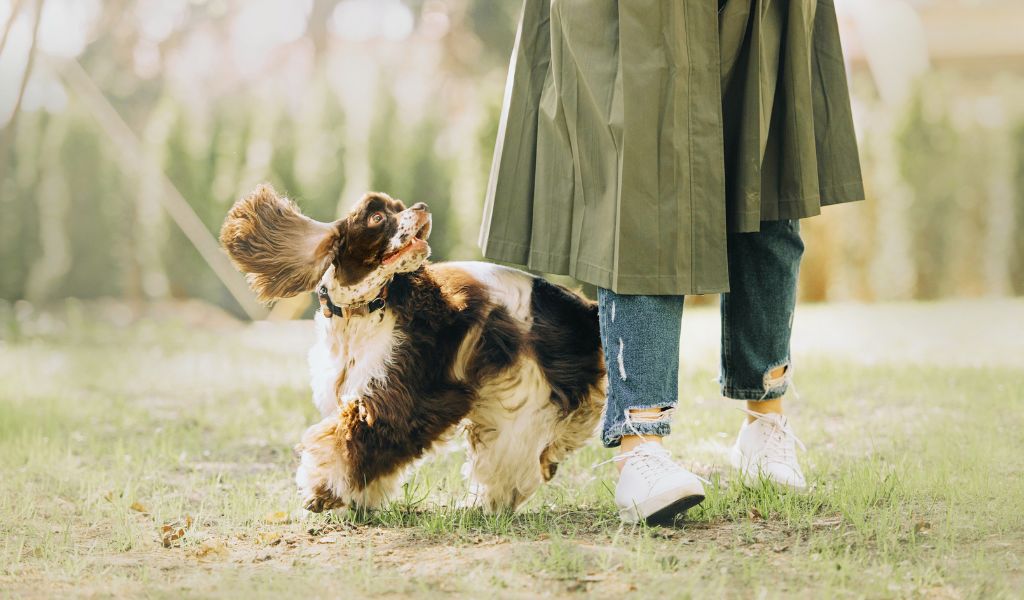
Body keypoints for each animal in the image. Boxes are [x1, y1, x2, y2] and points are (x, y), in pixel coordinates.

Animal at [220, 184, 602, 511]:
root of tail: (582, 309)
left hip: (523, 396)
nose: (421, 207)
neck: (359, 313)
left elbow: (350, 439)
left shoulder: (395, 395)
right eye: (376, 217)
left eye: (399, 207)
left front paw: (322, 488)